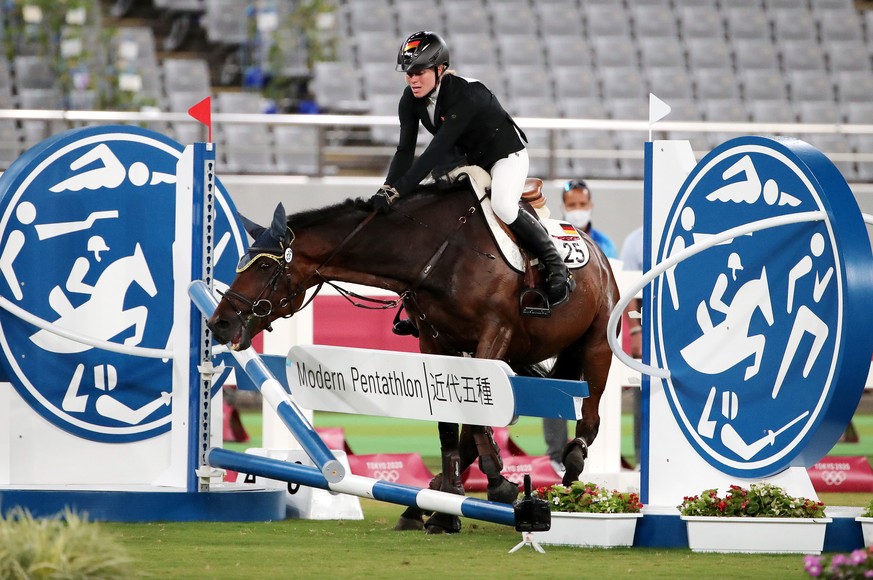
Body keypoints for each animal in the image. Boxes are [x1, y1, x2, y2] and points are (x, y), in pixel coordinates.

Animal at [208, 180, 620, 536]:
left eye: (264, 265)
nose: (220, 322)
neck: (438, 254)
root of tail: (593, 248)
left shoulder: (495, 333)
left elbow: (473, 419)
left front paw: (496, 485)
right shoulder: (434, 342)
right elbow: (450, 422)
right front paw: (449, 504)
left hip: (596, 344)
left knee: (590, 419)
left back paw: (569, 480)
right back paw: (430, 502)